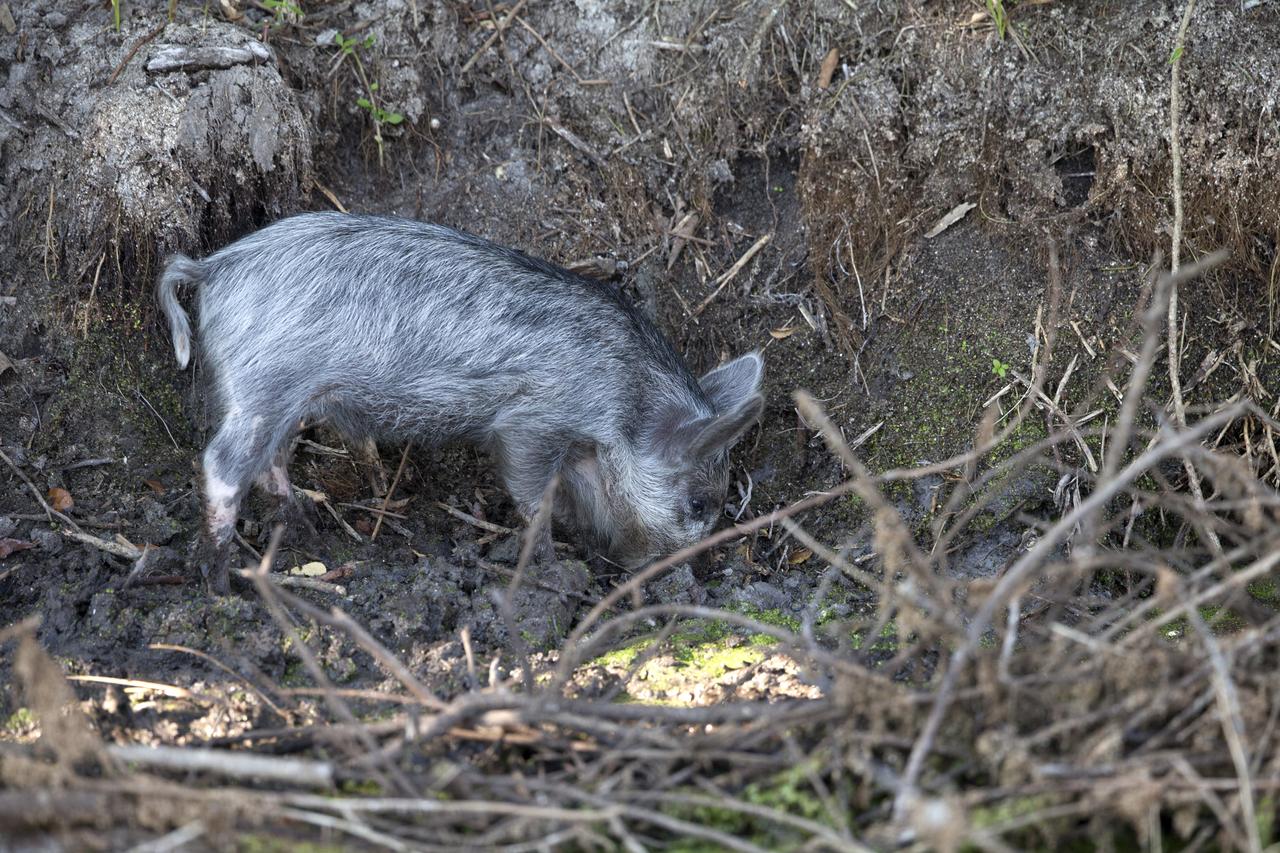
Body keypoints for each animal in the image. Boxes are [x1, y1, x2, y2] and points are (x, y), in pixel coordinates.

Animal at [157, 212, 764, 593]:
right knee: (223, 464)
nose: (688, 576)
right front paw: (553, 569)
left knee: (273, 460)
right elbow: (533, 497)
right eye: (699, 504)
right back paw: (221, 582)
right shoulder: (531, 420)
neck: (626, 399)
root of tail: (213, 267)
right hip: (266, 383)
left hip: (282, 396)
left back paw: (308, 527)